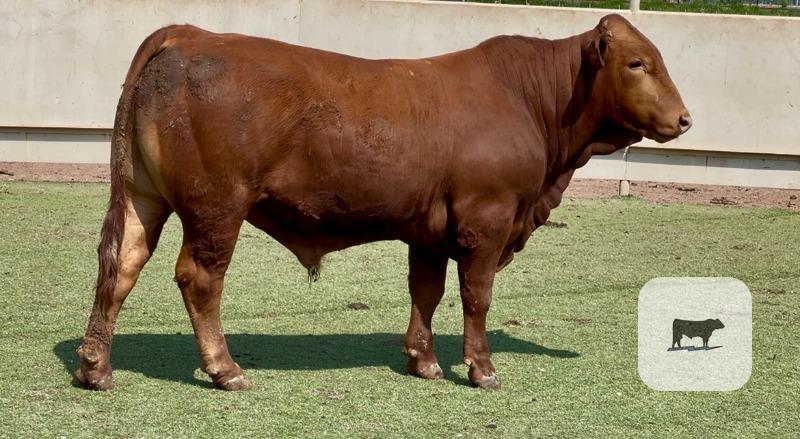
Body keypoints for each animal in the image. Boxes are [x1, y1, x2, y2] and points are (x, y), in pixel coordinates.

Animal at [76, 14, 691, 391]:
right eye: (637, 63)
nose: (685, 119)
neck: (529, 99)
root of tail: (190, 34)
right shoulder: (486, 221)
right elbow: (477, 296)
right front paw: (481, 368)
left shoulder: (430, 230)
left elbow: (426, 291)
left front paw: (424, 361)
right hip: (217, 207)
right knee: (199, 278)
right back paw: (225, 370)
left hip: (143, 196)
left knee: (120, 264)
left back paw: (95, 368)